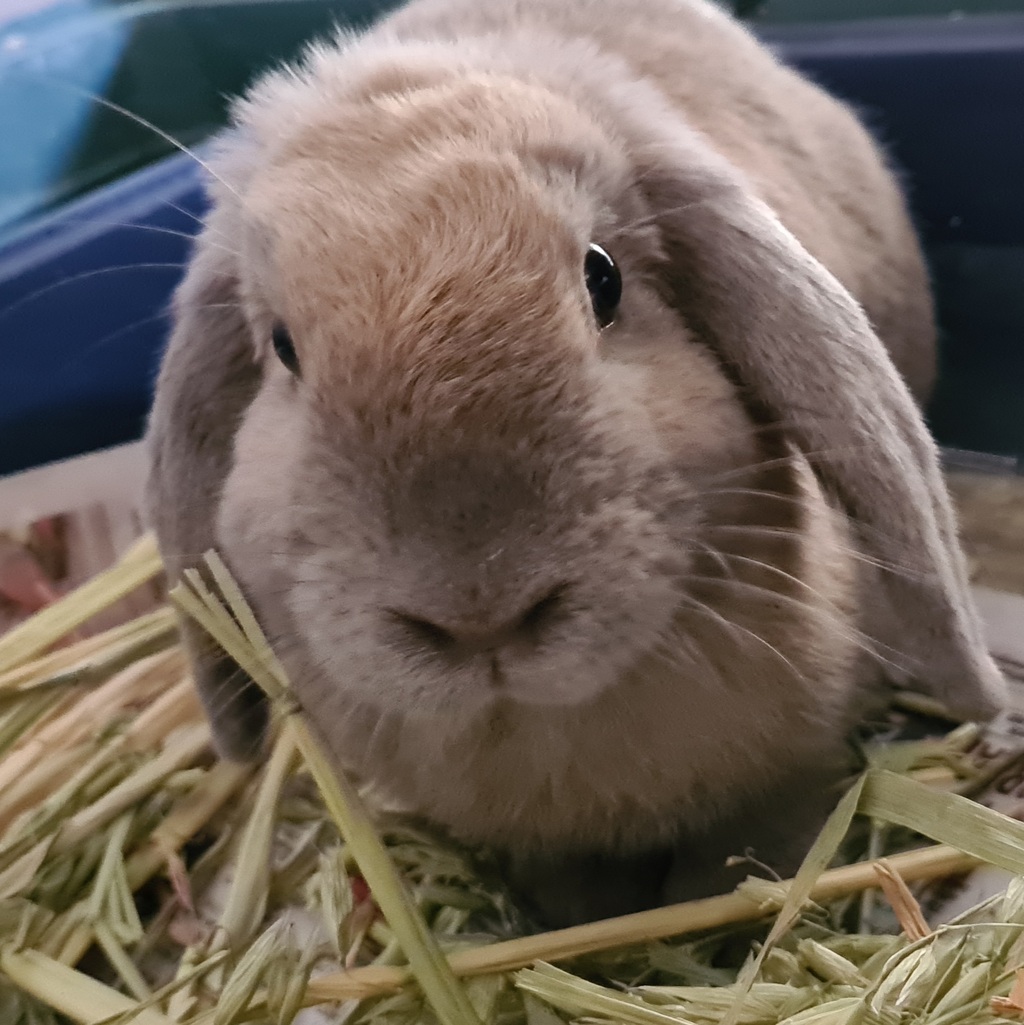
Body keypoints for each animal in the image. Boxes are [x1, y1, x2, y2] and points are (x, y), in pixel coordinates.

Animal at [146, 0, 1006, 927]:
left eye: (605, 279)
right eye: (282, 347)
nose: (479, 619)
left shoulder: (790, 776)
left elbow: (746, 852)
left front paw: (719, 913)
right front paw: (584, 919)